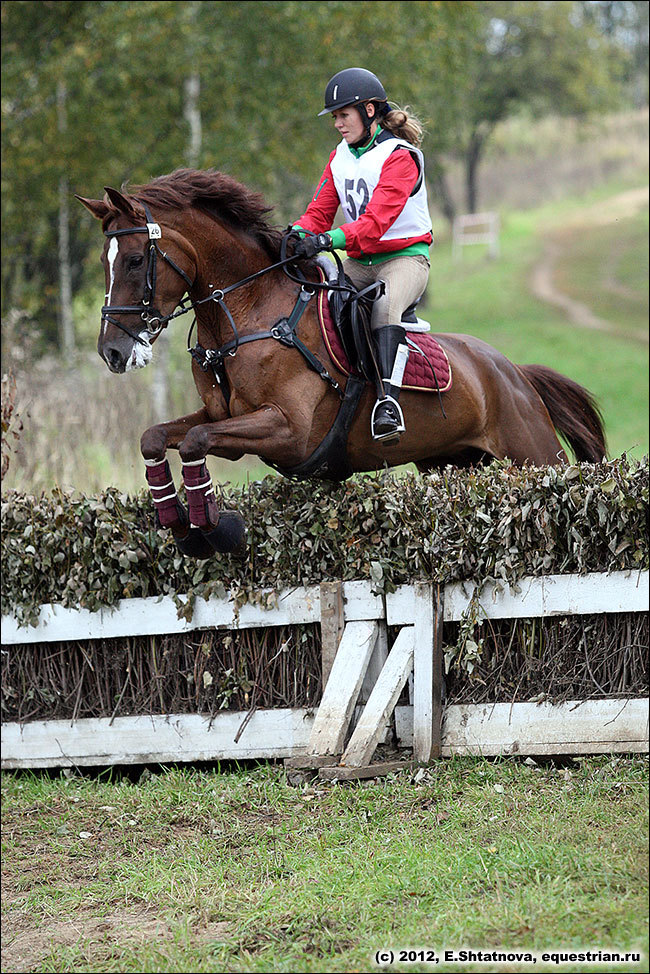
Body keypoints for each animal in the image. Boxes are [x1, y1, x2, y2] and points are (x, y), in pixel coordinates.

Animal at [77, 172, 608, 560]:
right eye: (104, 262)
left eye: (133, 260)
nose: (112, 352)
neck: (246, 313)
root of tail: (514, 372)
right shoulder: (223, 417)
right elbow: (158, 437)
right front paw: (181, 527)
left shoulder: (287, 429)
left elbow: (194, 442)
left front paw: (214, 529)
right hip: (451, 463)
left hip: (534, 454)